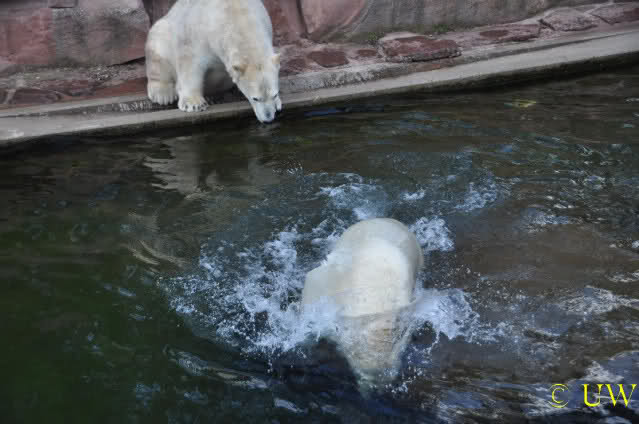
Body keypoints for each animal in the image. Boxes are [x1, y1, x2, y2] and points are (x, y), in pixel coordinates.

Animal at [145, 0, 282, 123]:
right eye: (255, 98)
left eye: (275, 94)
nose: (268, 119)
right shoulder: (197, 32)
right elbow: (190, 63)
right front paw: (194, 103)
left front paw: (278, 104)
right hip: (163, 33)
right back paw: (163, 94)